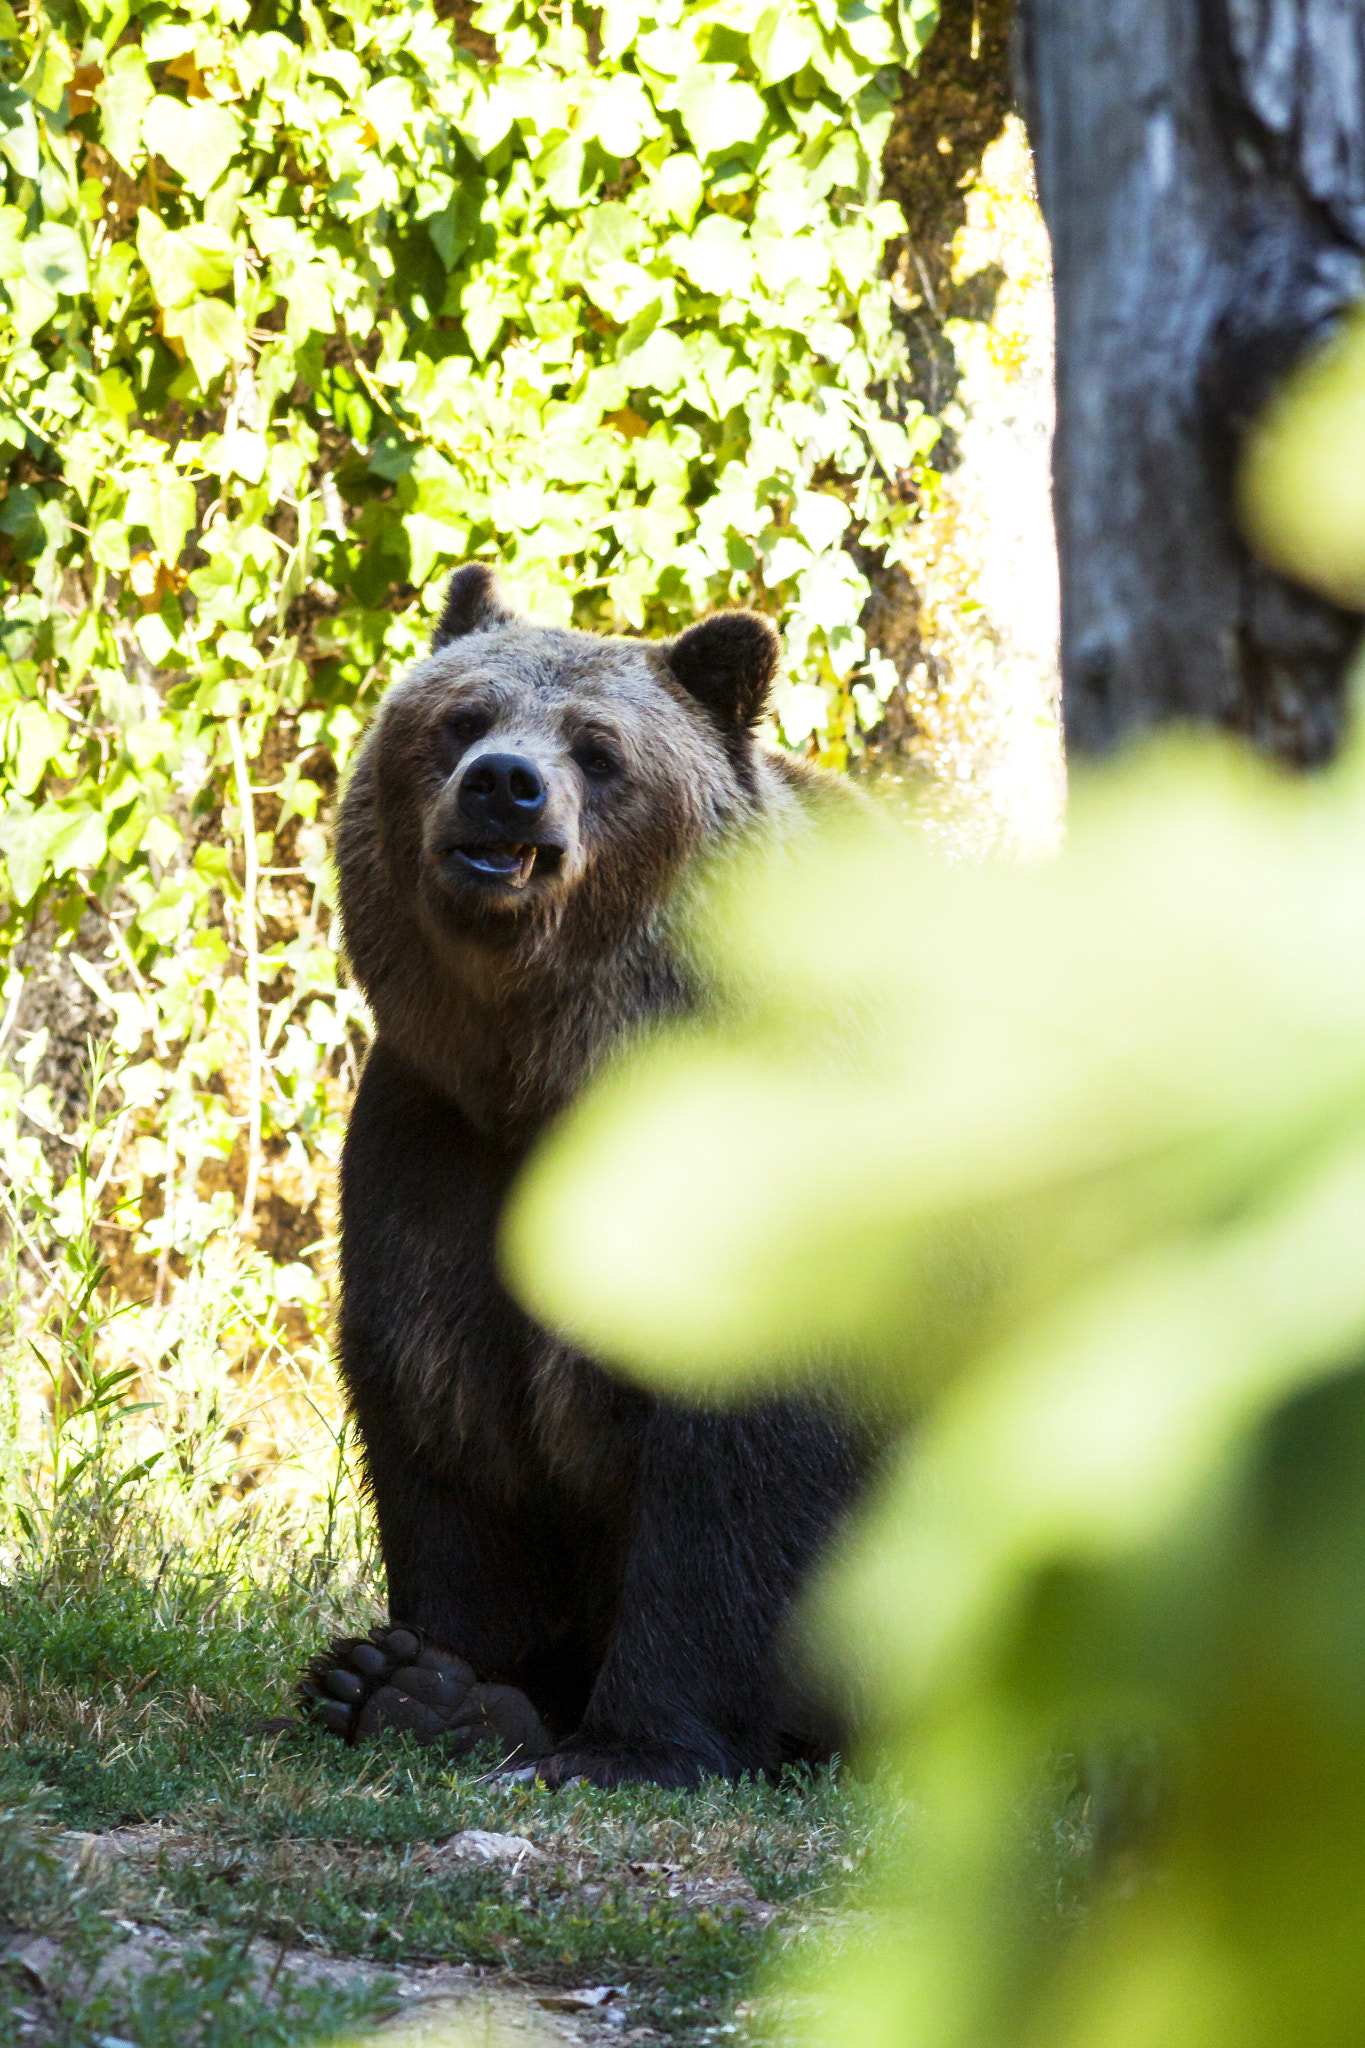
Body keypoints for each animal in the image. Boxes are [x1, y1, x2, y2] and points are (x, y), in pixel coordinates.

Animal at [296, 569, 875, 1785]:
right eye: (459, 716)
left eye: (599, 747)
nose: (503, 787)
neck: (561, 1059)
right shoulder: (437, 1147)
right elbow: (442, 1401)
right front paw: (426, 1679)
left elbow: (738, 1457)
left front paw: (633, 1741)